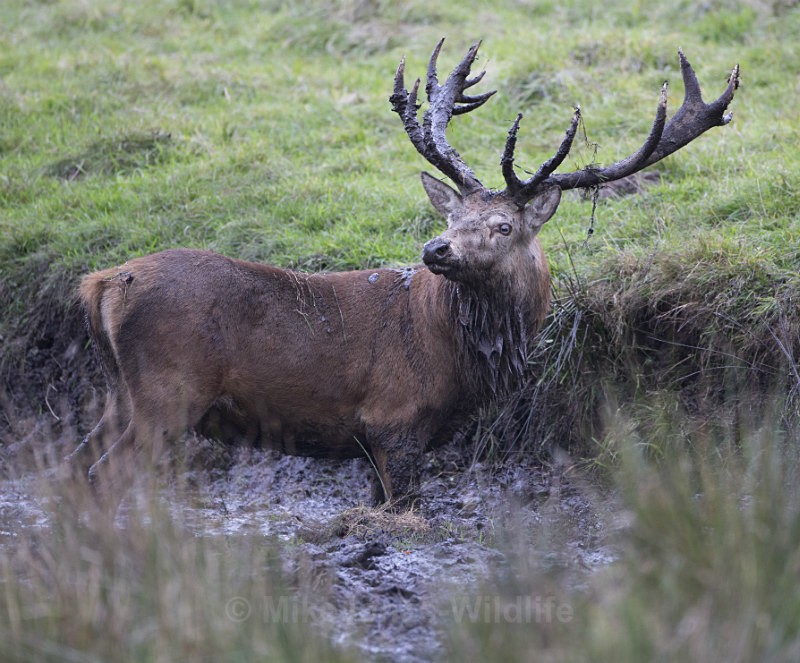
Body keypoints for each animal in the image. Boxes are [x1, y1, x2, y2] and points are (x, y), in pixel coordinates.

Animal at [68, 39, 739, 509]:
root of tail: (103, 283)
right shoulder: (395, 420)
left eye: (503, 226)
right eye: (455, 214)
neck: (456, 361)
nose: (436, 247)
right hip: (166, 391)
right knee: (108, 471)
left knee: (82, 460)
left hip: (118, 392)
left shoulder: (375, 441)